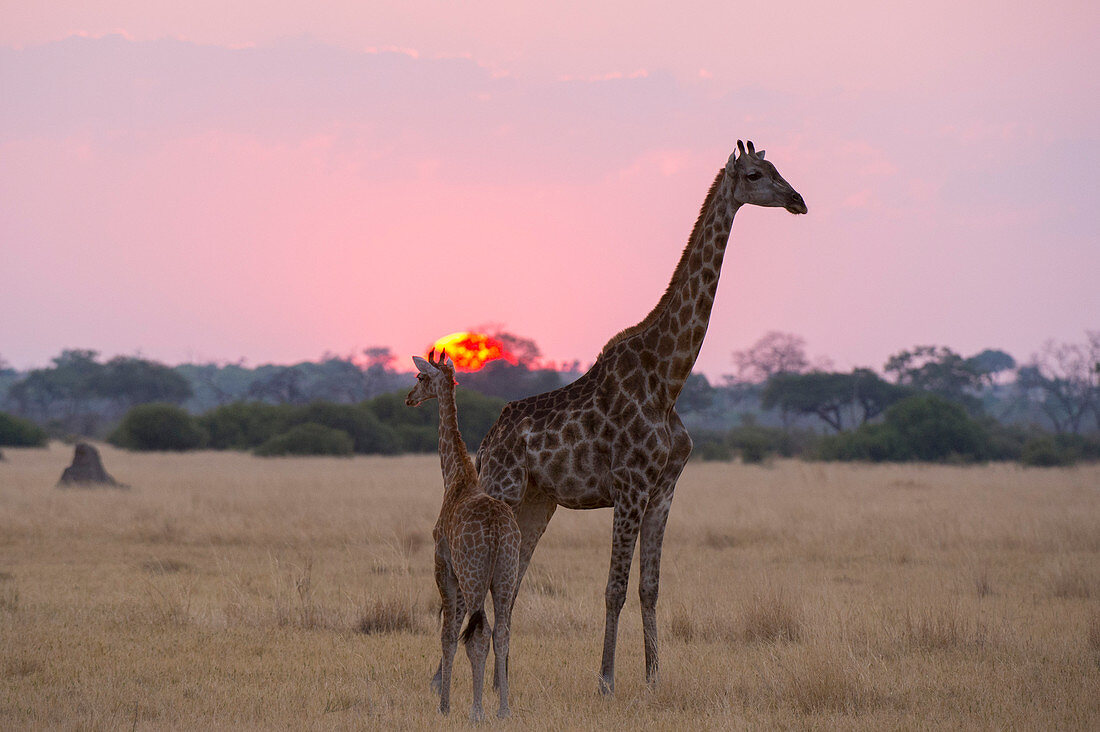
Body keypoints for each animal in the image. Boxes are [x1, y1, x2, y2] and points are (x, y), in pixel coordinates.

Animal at [407, 350, 521, 717]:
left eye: (420, 378)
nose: (409, 398)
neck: (455, 478)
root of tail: (497, 530)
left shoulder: (444, 566)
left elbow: (447, 634)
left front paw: (443, 705)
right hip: (505, 575)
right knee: (502, 633)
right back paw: (503, 710)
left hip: (474, 577)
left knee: (480, 634)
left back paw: (477, 711)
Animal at [433, 139, 805, 695]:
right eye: (757, 175)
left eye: (778, 169)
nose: (798, 200)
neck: (667, 377)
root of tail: (489, 438)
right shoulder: (629, 487)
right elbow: (614, 587)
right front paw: (607, 679)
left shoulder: (664, 490)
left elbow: (649, 586)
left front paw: (653, 677)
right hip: (503, 490)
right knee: (470, 581)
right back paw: (447, 681)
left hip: (537, 503)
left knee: (511, 584)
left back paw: (501, 682)